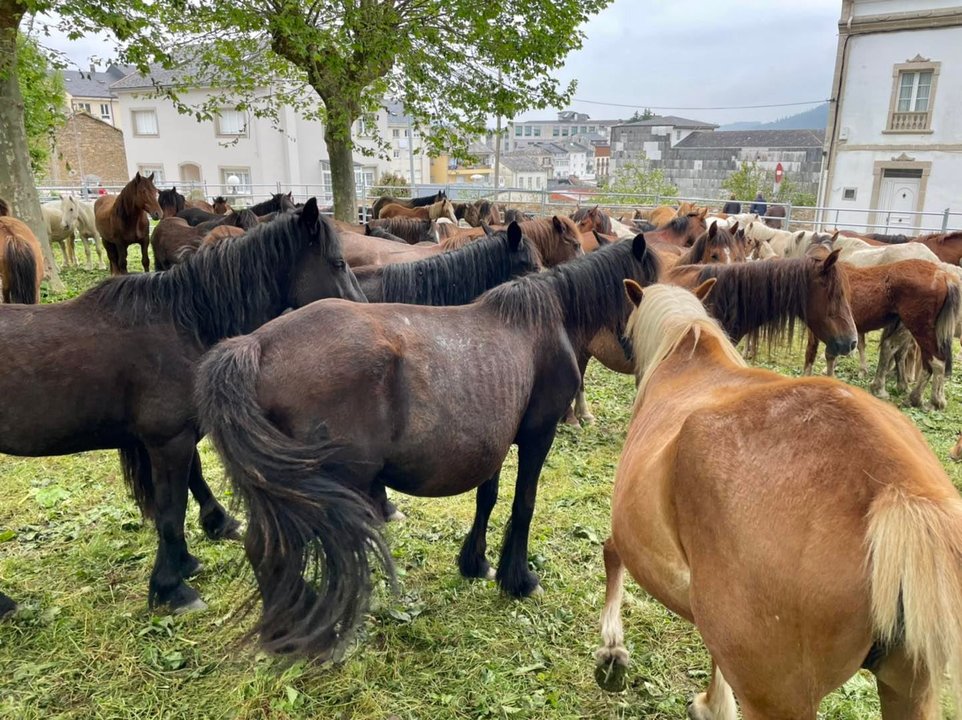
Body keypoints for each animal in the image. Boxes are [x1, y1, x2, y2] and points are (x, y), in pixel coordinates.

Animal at [0, 200, 366, 616]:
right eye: (338, 263)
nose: (364, 314)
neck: (182, 324)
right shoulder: (168, 441)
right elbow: (171, 511)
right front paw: (171, 587)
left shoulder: (178, 437)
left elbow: (194, 481)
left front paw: (200, 543)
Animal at [195, 232, 660, 660]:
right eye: (649, 288)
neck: (550, 319)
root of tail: (255, 346)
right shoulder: (536, 436)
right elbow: (523, 504)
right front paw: (519, 579)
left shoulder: (494, 440)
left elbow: (488, 498)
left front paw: (476, 562)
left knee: (263, 547)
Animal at [592, 280, 960, 720]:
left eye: (626, 337)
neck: (685, 355)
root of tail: (894, 484)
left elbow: (611, 551)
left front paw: (612, 648)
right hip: (911, 689)